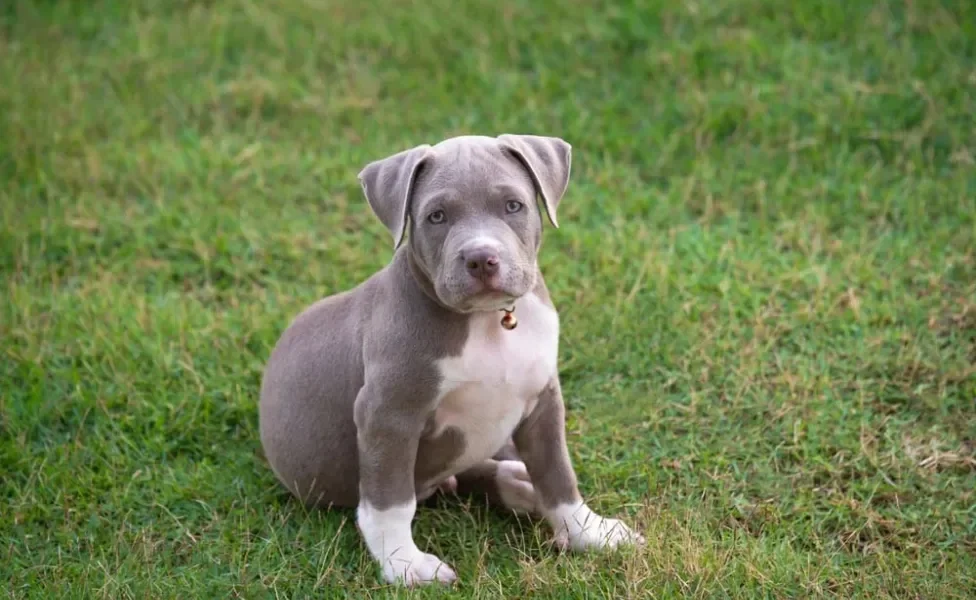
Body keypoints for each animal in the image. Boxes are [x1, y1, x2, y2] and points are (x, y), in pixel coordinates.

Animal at [258, 135, 640, 584]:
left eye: (513, 206)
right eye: (436, 216)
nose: (481, 258)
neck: (488, 323)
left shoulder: (544, 401)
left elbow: (557, 473)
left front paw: (589, 532)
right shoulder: (388, 415)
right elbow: (390, 499)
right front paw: (404, 563)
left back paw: (517, 485)